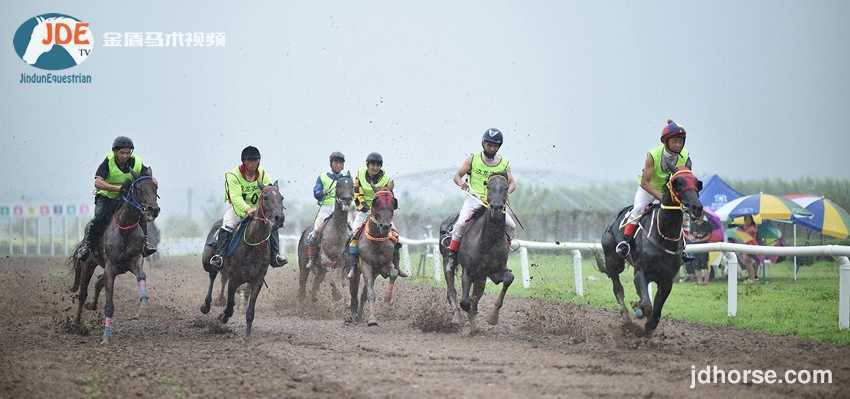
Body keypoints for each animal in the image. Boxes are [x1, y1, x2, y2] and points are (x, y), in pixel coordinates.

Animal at [68, 167, 161, 346]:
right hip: (88, 264)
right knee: (83, 293)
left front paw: (144, 306)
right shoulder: (110, 268)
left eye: (155, 187)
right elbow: (109, 304)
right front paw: (106, 336)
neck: (125, 228)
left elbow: (142, 276)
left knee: (98, 282)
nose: (153, 210)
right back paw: (76, 324)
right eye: (138, 188)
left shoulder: (135, 260)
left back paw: (91, 306)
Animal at [200, 183, 286, 340]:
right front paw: (223, 315)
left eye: (281, 198)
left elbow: (250, 310)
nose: (279, 218)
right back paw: (206, 305)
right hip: (207, 262)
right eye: (265, 197)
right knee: (212, 276)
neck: (253, 245)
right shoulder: (234, 279)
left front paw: (248, 335)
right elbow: (230, 306)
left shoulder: (257, 280)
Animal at [296, 174, 352, 304]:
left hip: (320, 270)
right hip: (303, 262)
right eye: (339, 185)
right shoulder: (324, 258)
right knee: (303, 281)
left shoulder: (345, 262)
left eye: (352, 186)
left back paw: (314, 298)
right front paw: (337, 294)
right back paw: (301, 300)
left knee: (317, 281)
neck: (337, 233)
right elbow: (331, 278)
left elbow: (344, 281)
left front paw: (348, 299)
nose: (347, 199)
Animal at [438, 173, 510, 336]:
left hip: (481, 275)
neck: (487, 241)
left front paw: (492, 317)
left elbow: (508, 278)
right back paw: (457, 316)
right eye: (488, 186)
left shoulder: (494, 271)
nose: (496, 209)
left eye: (506, 187)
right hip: (446, 260)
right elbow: (466, 302)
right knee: (451, 288)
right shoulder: (468, 271)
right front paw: (472, 324)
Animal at [592, 166, 700, 334]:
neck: (663, 234)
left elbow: (656, 308)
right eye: (678, 183)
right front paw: (639, 311)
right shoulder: (641, 271)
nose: (697, 208)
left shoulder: (667, 279)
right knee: (618, 289)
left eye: (697, 183)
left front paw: (649, 325)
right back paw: (627, 317)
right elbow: (647, 305)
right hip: (613, 261)